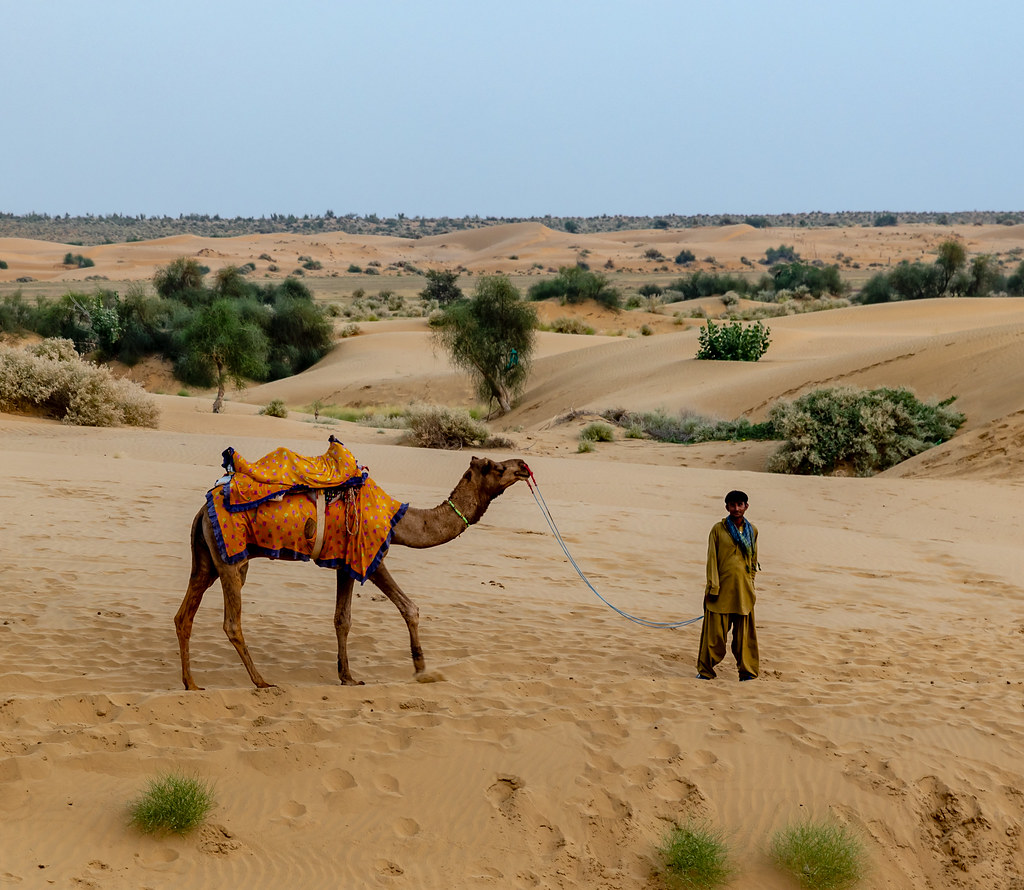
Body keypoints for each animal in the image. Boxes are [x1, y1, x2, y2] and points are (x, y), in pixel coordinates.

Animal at [175, 454, 532, 692]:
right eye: (497, 467)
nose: (523, 466)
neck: (399, 519)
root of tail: (202, 511)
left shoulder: (345, 562)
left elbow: (342, 619)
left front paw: (347, 676)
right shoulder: (372, 556)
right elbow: (409, 608)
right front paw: (422, 670)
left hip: (206, 558)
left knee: (184, 615)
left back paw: (192, 683)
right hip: (231, 556)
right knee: (231, 622)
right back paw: (262, 681)